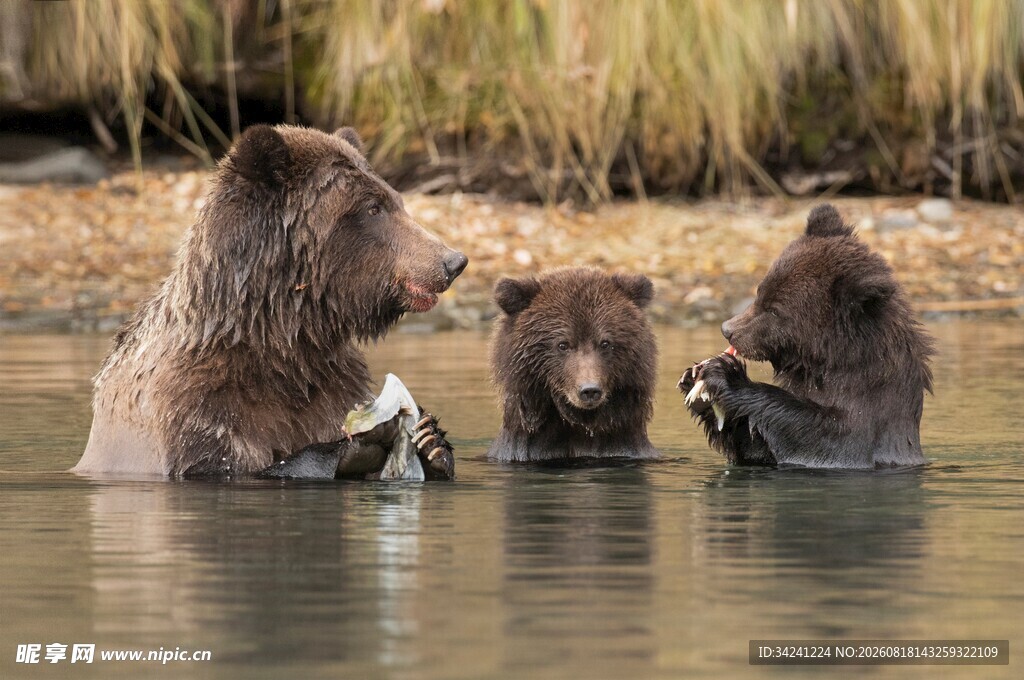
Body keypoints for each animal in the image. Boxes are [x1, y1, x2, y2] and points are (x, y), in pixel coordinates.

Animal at [73, 124, 467, 479]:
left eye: (396, 200)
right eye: (373, 208)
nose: (452, 261)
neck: (280, 339)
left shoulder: (331, 384)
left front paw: (431, 440)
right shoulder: (193, 408)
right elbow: (228, 465)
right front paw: (356, 444)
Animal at [679, 203, 934, 469]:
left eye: (774, 310)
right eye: (760, 292)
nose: (728, 329)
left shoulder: (864, 423)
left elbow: (821, 434)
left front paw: (725, 374)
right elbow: (755, 446)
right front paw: (695, 382)